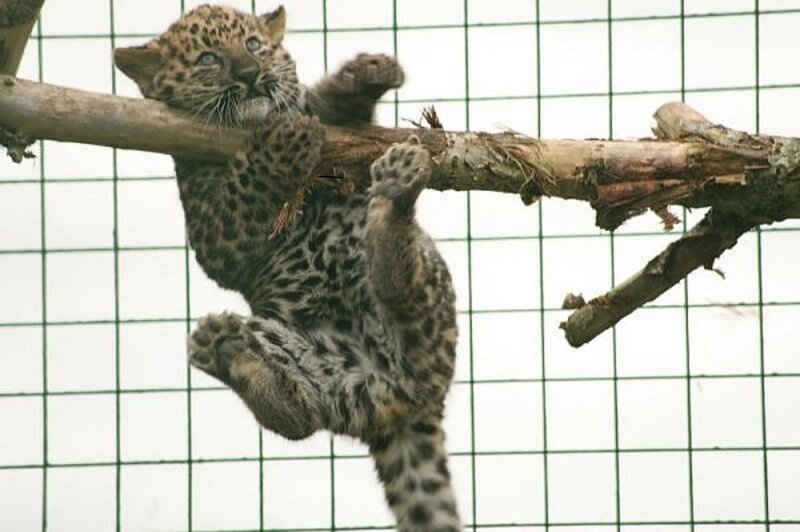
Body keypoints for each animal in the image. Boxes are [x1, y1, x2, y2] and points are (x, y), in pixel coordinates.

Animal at [114, 4, 461, 530]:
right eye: (208, 59)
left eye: (254, 45)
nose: (250, 74)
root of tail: (412, 400)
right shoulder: (216, 237)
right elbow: (248, 185)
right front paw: (287, 138)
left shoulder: (337, 129)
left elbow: (332, 106)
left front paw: (367, 71)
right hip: (302, 351)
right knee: (299, 418)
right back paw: (228, 352)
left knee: (396, 288)